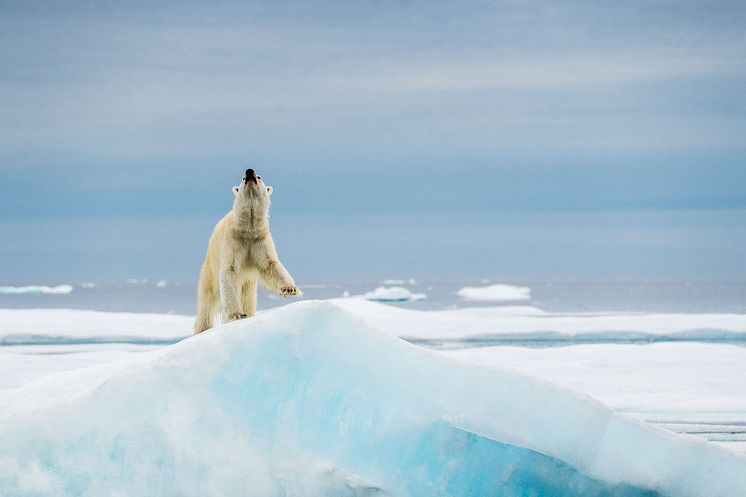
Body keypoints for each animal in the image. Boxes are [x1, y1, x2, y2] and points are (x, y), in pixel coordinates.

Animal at [192, 169, 302, 336]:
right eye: (243, 178)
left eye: (259, 177)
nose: (250, 171)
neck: (248, 229)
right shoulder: (233, 240)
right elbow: (229, 270)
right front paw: (237, 314)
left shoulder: (259, 240)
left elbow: (270, 264)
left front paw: (290, 289)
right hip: (210, 268)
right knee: (208, 298)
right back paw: (203, 328)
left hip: (249, 283)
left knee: (248, 298)